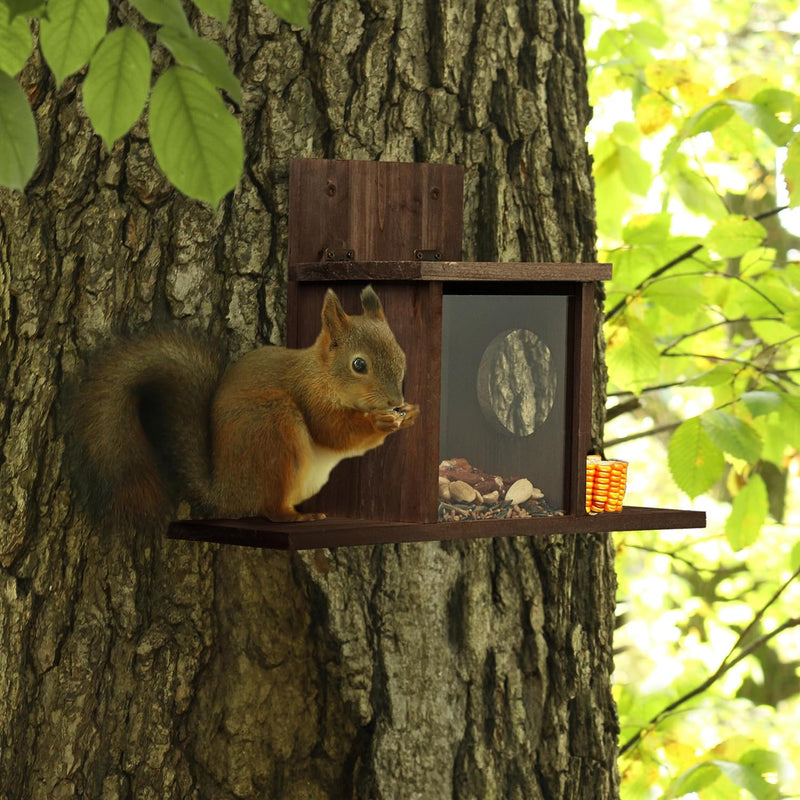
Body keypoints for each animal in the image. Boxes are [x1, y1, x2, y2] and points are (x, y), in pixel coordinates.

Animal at [72, 284, 418, 520]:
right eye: (359, 365)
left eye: (402, 355)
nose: (396, 400)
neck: (321, 374)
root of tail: (227, 493)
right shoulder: (309, 395)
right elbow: (334, 432)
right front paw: (380, 421)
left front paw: (410, 415)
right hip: (272, 428)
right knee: (270, 508)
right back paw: (296, 517)